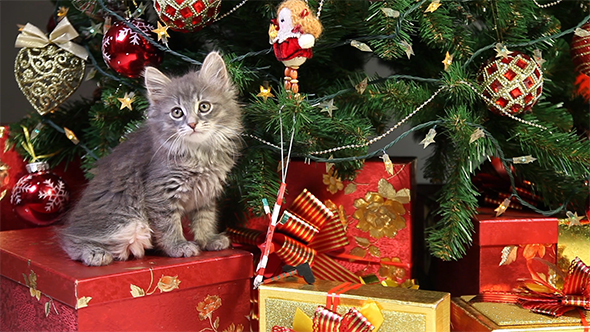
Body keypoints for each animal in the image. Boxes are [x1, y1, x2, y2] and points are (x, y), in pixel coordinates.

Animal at [59, 52, 243, 268]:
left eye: (204, 106)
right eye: (177, 112)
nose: (192, 124)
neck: (199, 154)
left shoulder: (206, 193)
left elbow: (205, 219)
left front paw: (207, 239)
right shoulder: (160, 192)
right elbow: (169, 225)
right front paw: (178, 246)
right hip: (125, 220)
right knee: (71, 238)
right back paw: (94, 253)